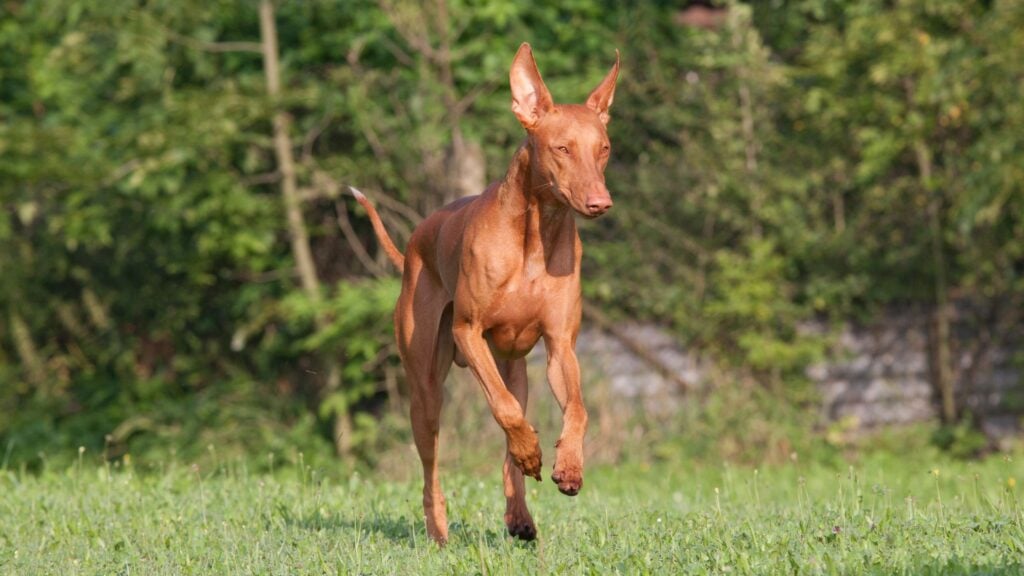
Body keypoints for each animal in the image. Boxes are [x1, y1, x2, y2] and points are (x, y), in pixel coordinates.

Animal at [356, 42, 618, 541]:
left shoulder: (561, 347)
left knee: (509, 439)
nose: (600, 203)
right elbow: (505, 411)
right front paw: (534, 451)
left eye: (604, 149)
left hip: (516, 368)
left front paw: (568, 467)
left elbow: (577, 411)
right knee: (433, 466)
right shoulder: (468, 332)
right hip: (426, 391)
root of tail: (414, 242)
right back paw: (439, 529)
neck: (536, 235)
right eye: (562, 148)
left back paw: (519, 514)